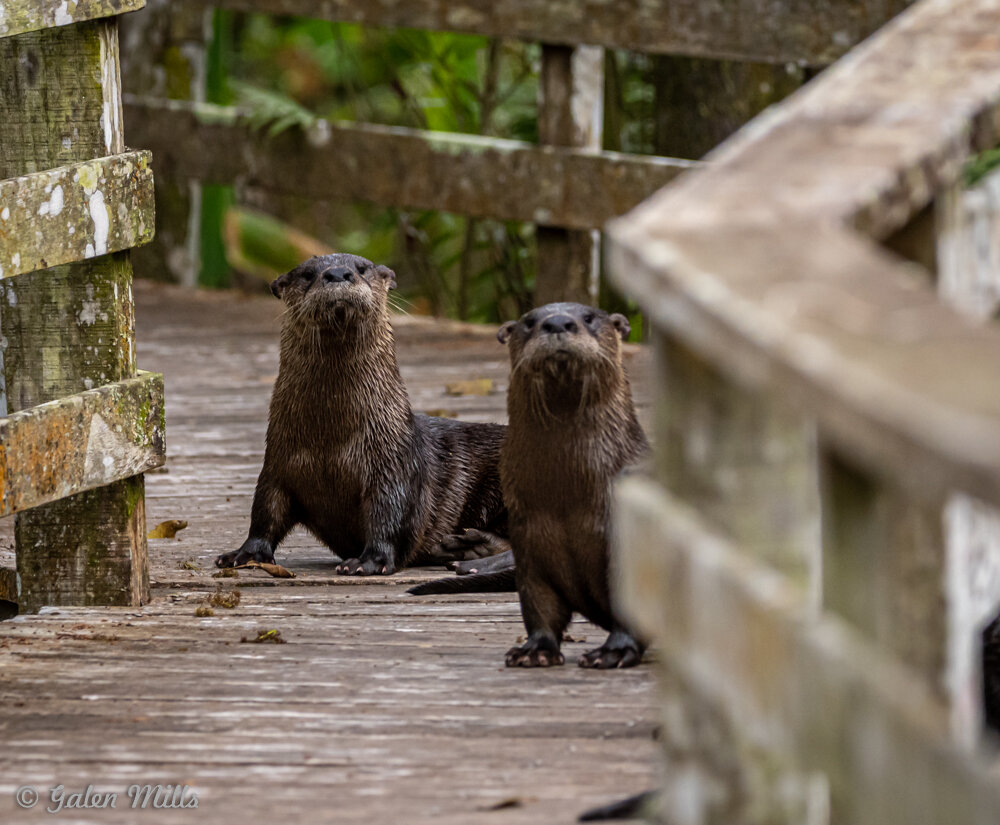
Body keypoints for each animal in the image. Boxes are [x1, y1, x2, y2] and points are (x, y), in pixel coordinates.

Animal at [214, 253, 506, 575]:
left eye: (363, 269)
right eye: (307, 274)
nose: (338, 273)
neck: (329, 444)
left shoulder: (393, 467)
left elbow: (388, 516)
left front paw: (369, 561)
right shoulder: (278, 464)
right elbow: (265, 512)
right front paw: (245, 554)